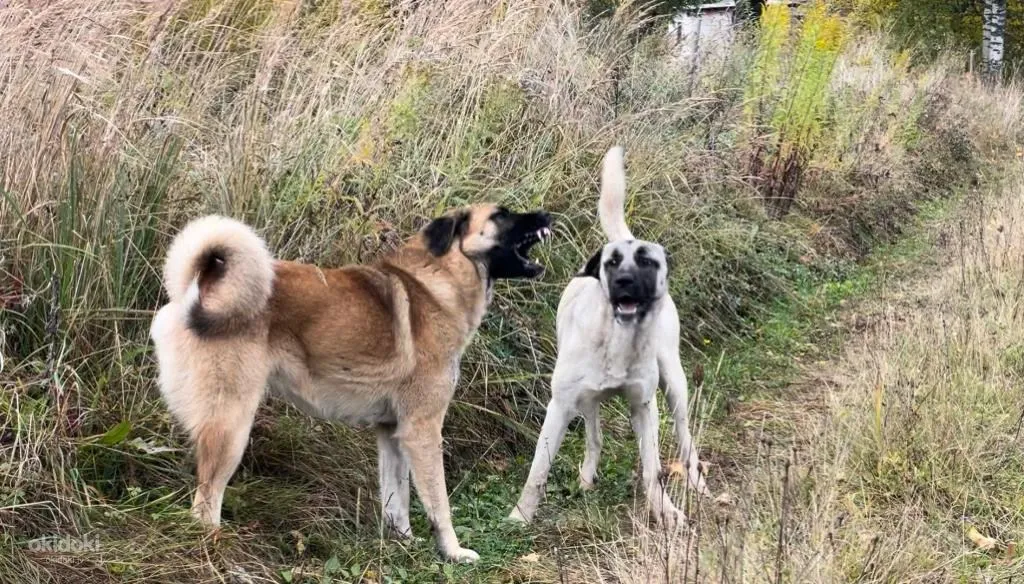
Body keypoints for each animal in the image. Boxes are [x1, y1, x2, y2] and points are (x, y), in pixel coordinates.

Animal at [149, 204, 552, 557]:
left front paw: (404, 545)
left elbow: (397, 500)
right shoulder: (423, 431)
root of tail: (201, 287)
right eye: (501, 215)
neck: (438, 282)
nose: (548, 215)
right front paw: (452, 552)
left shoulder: (392, 433)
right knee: (205, 504)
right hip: (231, 427)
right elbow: (439, 504)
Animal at [509, 144, 708, 522]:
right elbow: (538, 470)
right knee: (594, 437)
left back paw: (697, 482)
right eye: (611, 263)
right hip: (585, 401)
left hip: (674, 383)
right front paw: (521, 515)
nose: (624, 282)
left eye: (647, 261)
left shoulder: (645, 408)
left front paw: (664, 510)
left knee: (685, 436)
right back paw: (587, 478)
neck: (618, 341)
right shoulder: (559, 407)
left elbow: (652, 468)